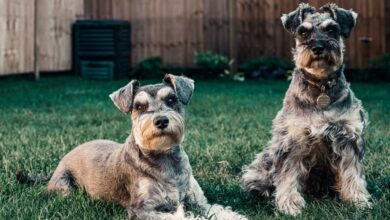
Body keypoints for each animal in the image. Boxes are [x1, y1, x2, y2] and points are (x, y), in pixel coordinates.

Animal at [242, 3, 370, 217]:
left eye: (332, 29)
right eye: (303, 32)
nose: (317, 48)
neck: (320, 86)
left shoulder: (348, 137)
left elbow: (352, 173)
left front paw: (357, 200)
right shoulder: (292, 140)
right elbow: (287, 176)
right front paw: (290, 205)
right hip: (264, 162)